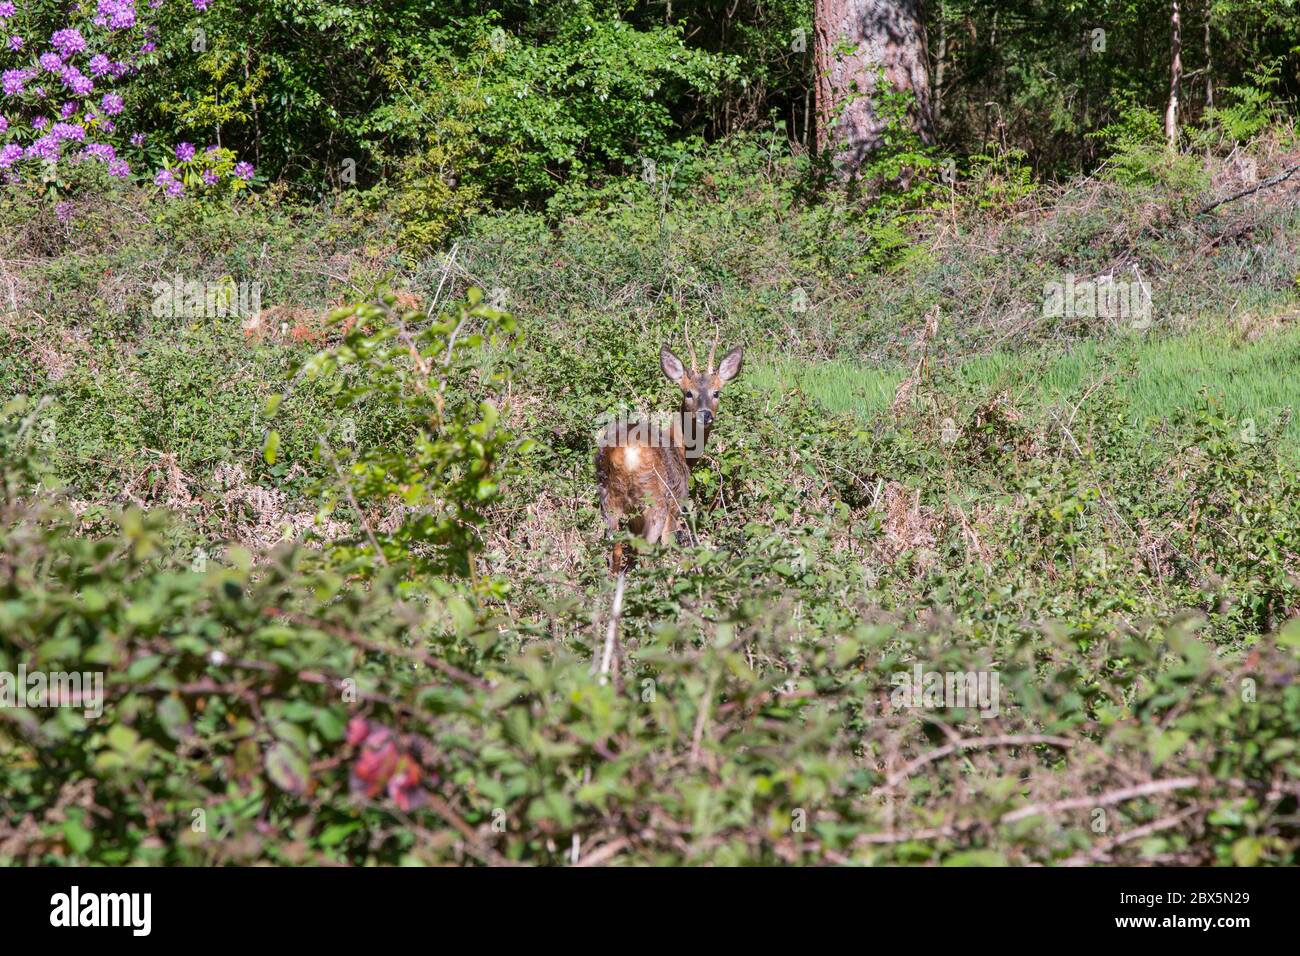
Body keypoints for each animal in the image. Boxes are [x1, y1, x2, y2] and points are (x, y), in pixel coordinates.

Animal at [595, 332, 743, 572]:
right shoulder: (677, 500)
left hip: (608, 497)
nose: (705, 415)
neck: (682, 450)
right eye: (688, 393)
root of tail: (625, 454)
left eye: (716, 392)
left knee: (615, 548)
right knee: (646, 550)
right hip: (655, 499)